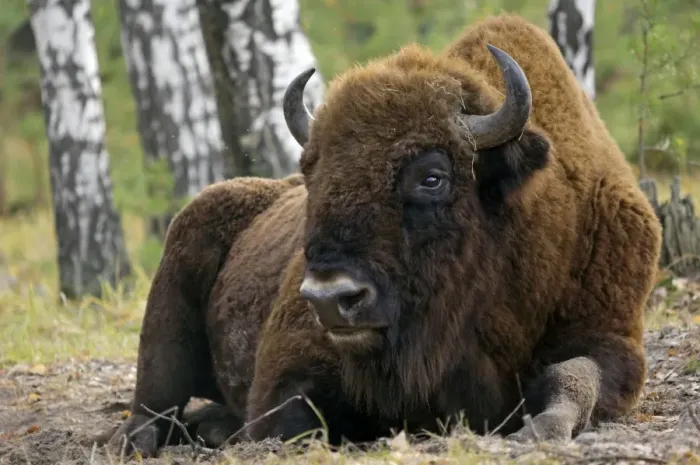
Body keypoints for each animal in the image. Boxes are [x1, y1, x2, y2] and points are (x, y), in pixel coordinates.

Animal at [108, 14, 662, 458]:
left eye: (432, 177)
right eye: (311, 172)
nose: (329, 298)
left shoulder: (611, 338)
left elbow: (574, 379)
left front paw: (536, 432)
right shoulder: (289, 369)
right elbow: (290, 419)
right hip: (165, 320)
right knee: (153, 404)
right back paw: (148, 438)